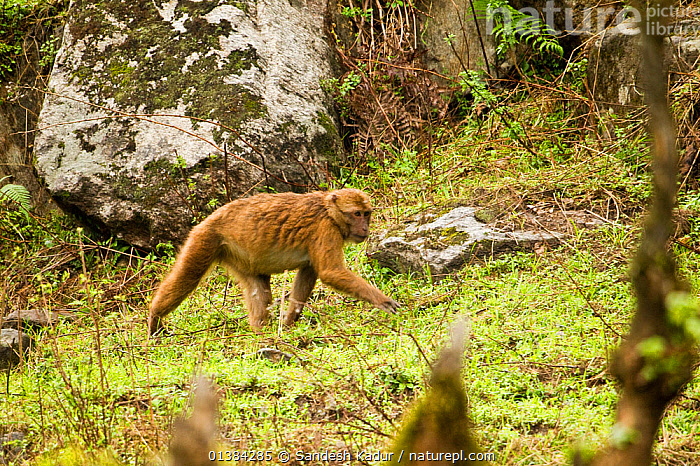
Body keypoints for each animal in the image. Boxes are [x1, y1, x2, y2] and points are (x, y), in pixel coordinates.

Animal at [148, 188, 400, 335]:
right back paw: (154, 318)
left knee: (258, 288)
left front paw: (288, 323)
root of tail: (208, 219)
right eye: (357, 214)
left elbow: (308, 274)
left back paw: (261, 334)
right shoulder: (325, 229)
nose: (365, 228)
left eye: (367, 213)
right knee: (188, 277)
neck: (329, 211)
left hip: (236, 256)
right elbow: (331, 272)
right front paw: (382, 300)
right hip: (206, 240)